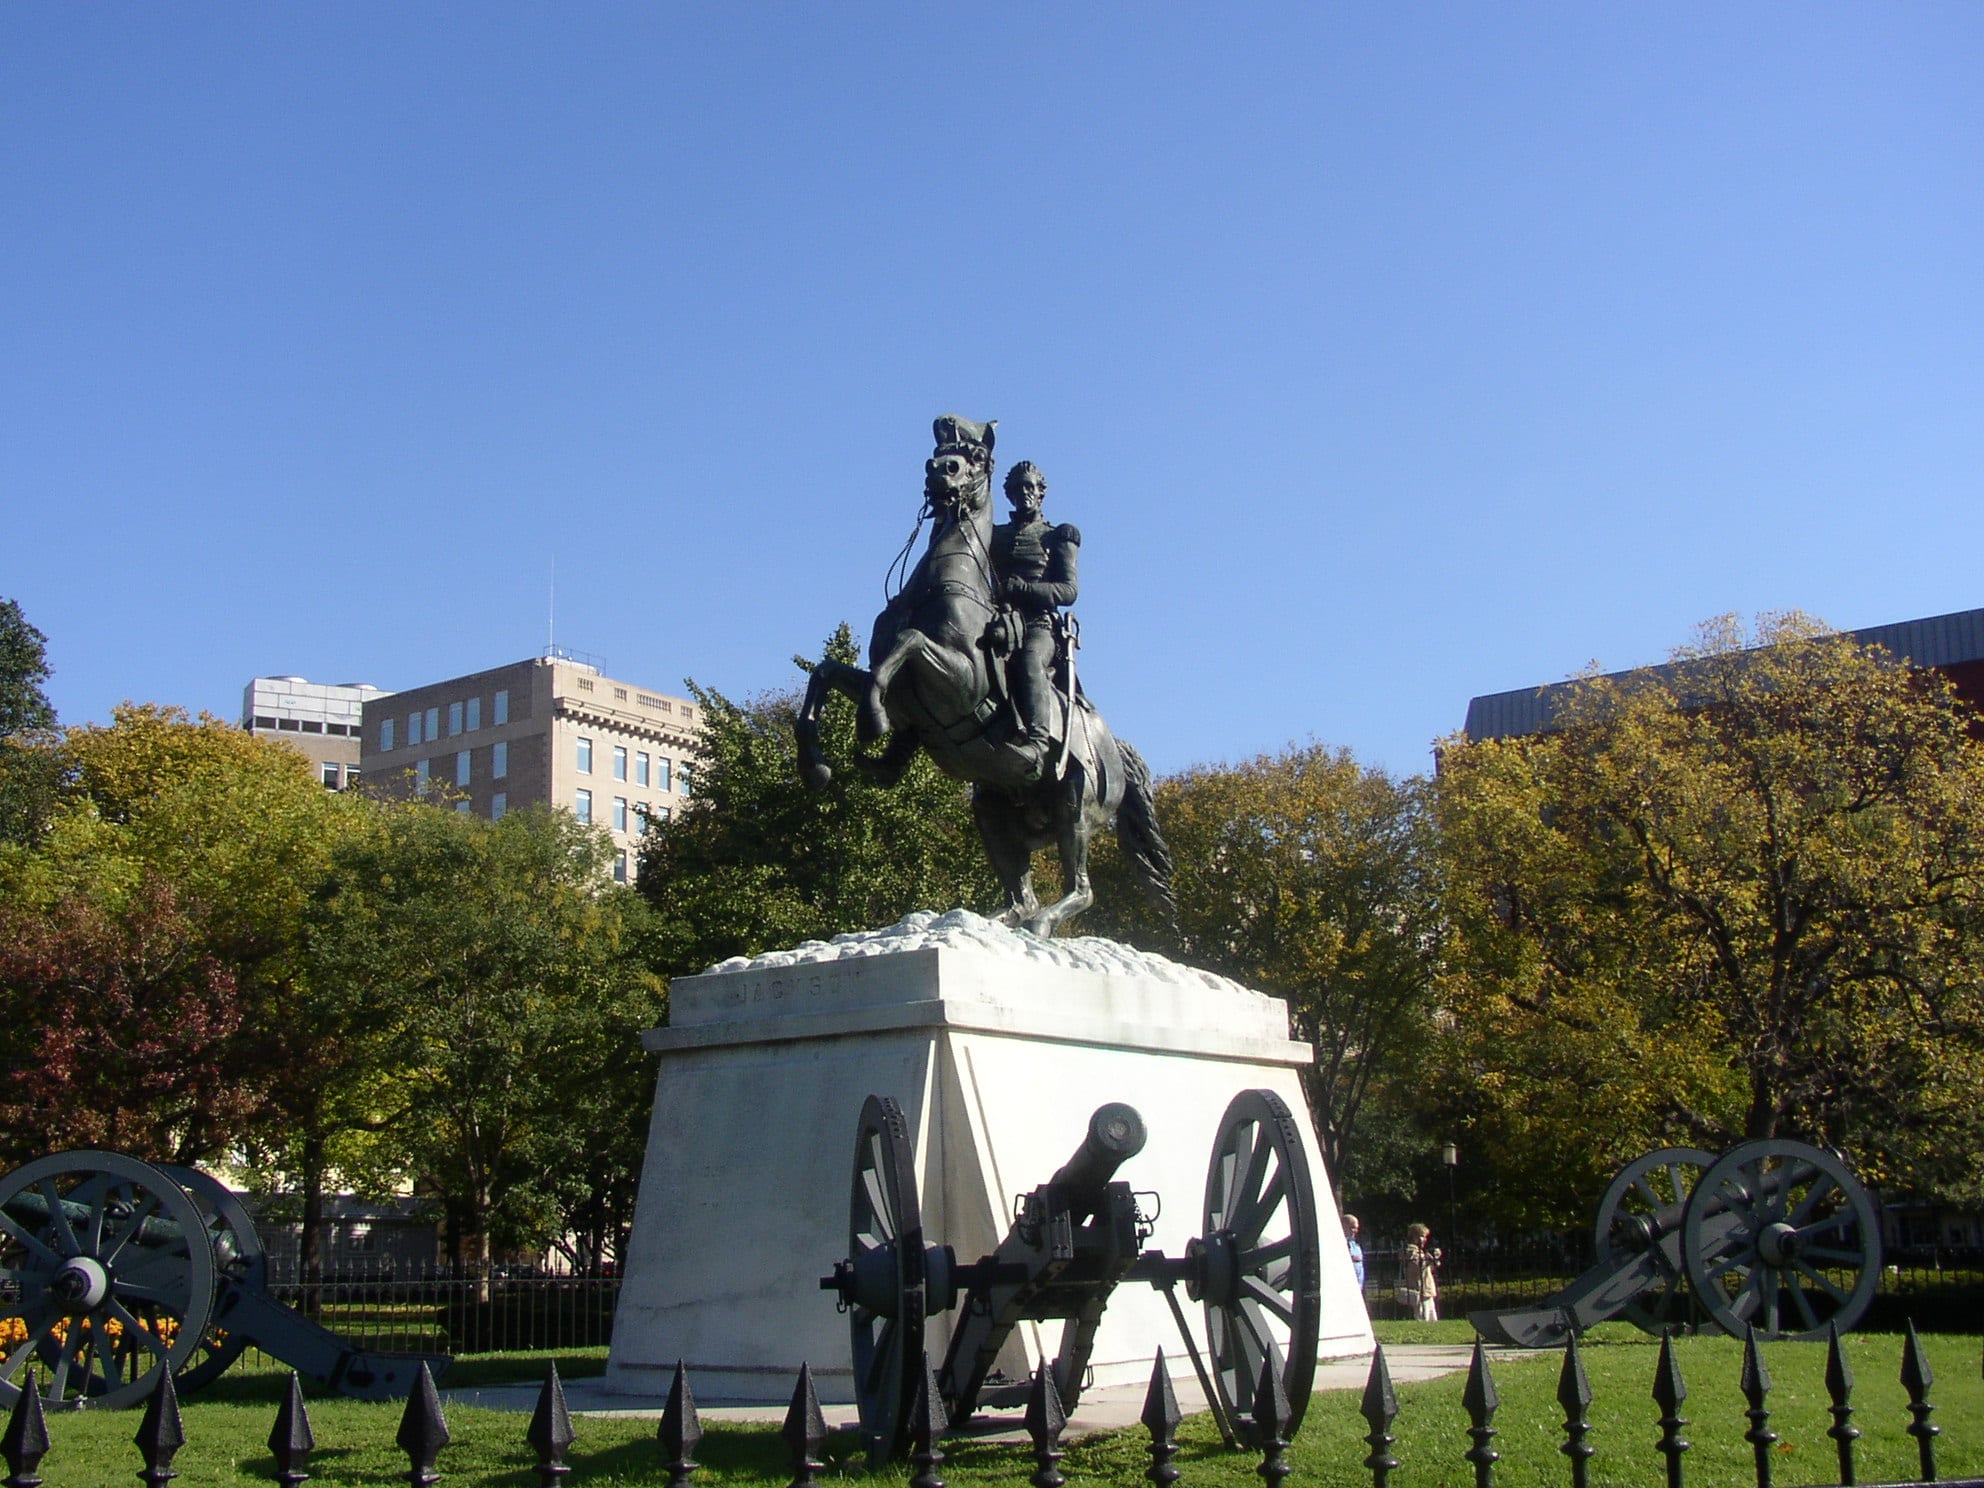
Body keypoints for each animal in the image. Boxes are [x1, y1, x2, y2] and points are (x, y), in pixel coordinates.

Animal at [793, 414, 1166, 936]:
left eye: (977, 457)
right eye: (940, 449)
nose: (939, 470)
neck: (937, 584)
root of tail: (1115, 748)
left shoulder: (959, 680)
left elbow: (907, 646)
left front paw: (870, 722)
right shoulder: (902, 694)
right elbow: (827, 674)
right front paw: (817, 766)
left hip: (1075, 806)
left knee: (1080, 888)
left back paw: (1041, 925)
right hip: (991, 809)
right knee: (1021, 893)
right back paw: (984, 922)